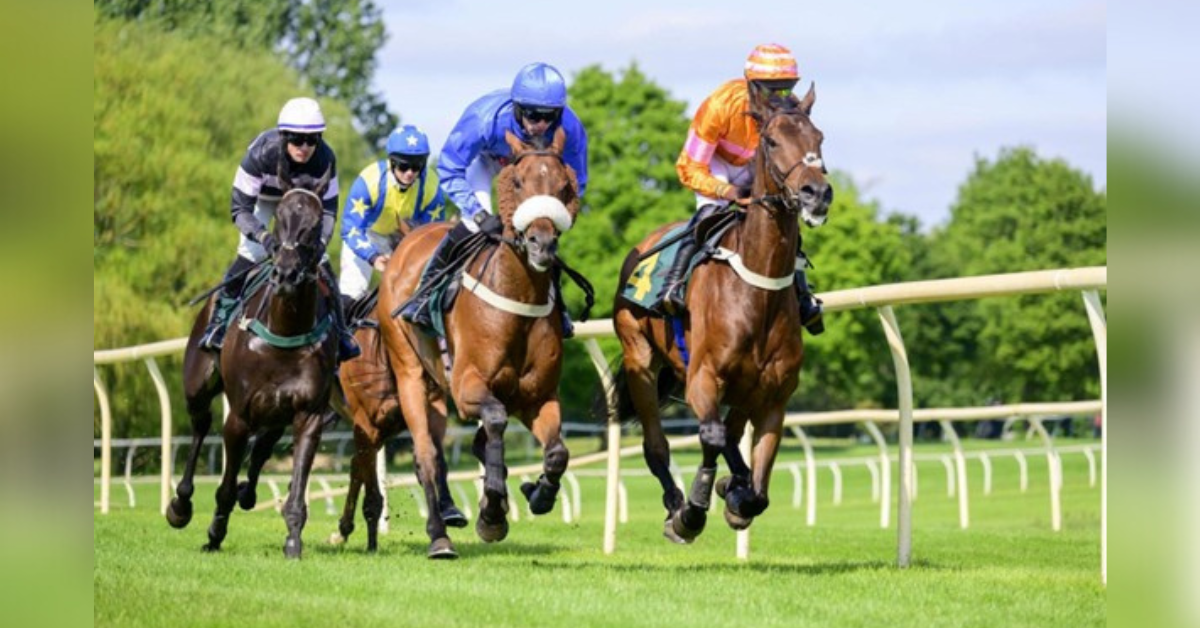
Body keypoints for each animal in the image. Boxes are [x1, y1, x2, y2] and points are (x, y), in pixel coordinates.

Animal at [167, 167, 340, 559]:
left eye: (313, 225)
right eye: (279, 220)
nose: (286, 275)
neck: (284, 331)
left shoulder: (308, 414)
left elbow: (295, 488)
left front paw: (293, 540)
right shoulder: (239, 416)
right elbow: (224, 486)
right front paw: (215, 533)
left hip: (277, 413)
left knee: (263, 445)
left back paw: (248, 492)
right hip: (197, 385)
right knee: (201, 426)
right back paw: (181, 505)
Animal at [376, 127, 580, 558]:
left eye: (565, 186)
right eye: (517, 182)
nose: (541, 244)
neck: (519, 299)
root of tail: (411, 236)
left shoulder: (537, 396)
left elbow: (557, 452)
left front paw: (537, 494)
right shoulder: (468, 386)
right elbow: (497, 422)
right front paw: (492, 510)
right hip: (410, 371)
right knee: (425, 453)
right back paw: (439, 536)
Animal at [612, 85, 832, 543]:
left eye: (819, 138)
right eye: (772, 141)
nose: (816, 193)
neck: (757, 290)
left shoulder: (773, 396)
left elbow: (758, 489)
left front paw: (736, 494)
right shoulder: (702, 376)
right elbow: (711, 436)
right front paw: (692, 510)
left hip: (743, 386)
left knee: (730, 433)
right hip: (639, 356)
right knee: (658, 445)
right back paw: (676, 503)